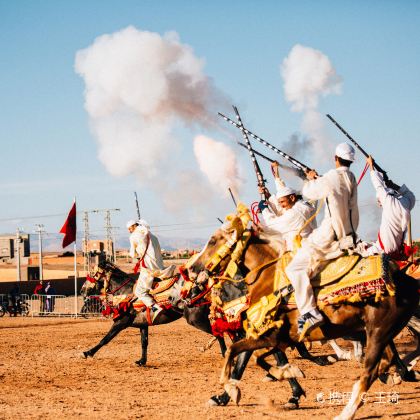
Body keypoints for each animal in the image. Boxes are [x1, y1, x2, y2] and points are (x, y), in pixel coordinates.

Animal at [189, 217, 418, 420]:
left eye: (212, 240)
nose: (192, 269)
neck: (269, 280)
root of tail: (407, 280)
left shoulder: (268, 336)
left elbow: (236, 353)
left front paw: (233, 390)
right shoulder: (277, 338)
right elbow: (255, 358)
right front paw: (287, 374)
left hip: (378, 333)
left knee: (369, 373)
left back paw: (346, 412)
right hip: (377, 333)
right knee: (388, 360)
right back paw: (395, 375)